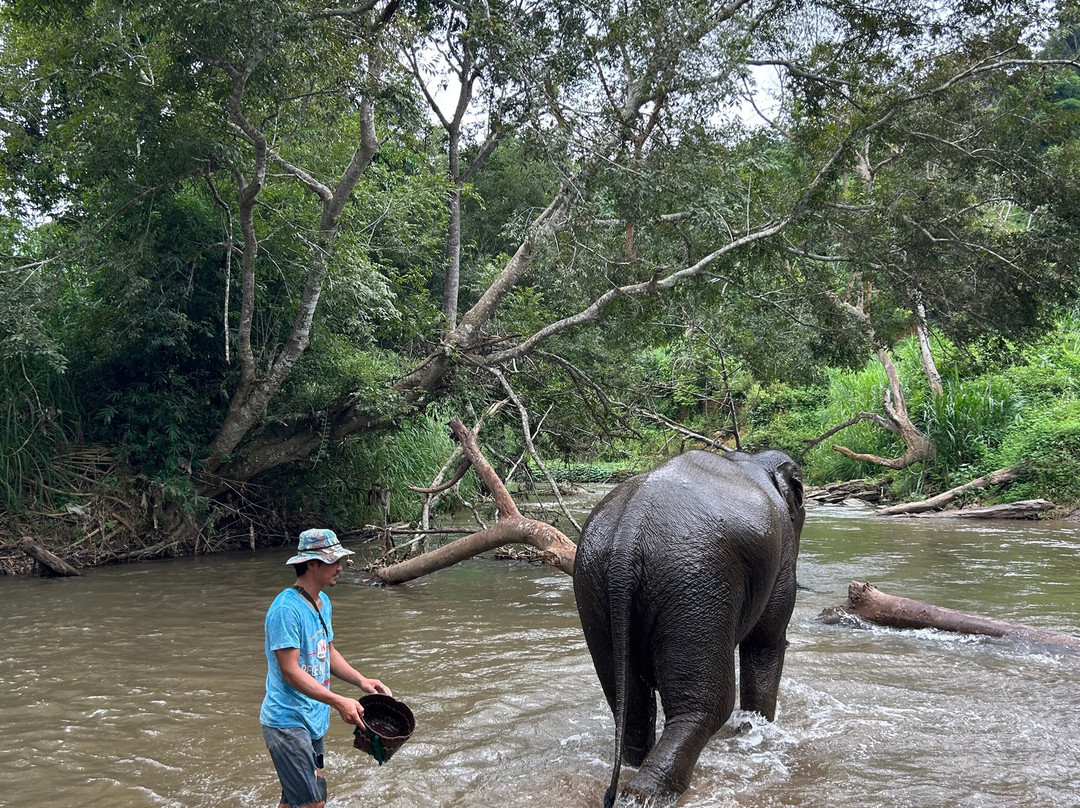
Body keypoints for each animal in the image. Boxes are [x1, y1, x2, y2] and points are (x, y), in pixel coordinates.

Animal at [573, 449, 805, 808]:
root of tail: (629, 530)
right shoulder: (781, 562)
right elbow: (767, 641)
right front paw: (758, 731)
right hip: (694, 581)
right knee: (707, 705)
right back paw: (647, 792)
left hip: (592, 582)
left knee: (628, 698)